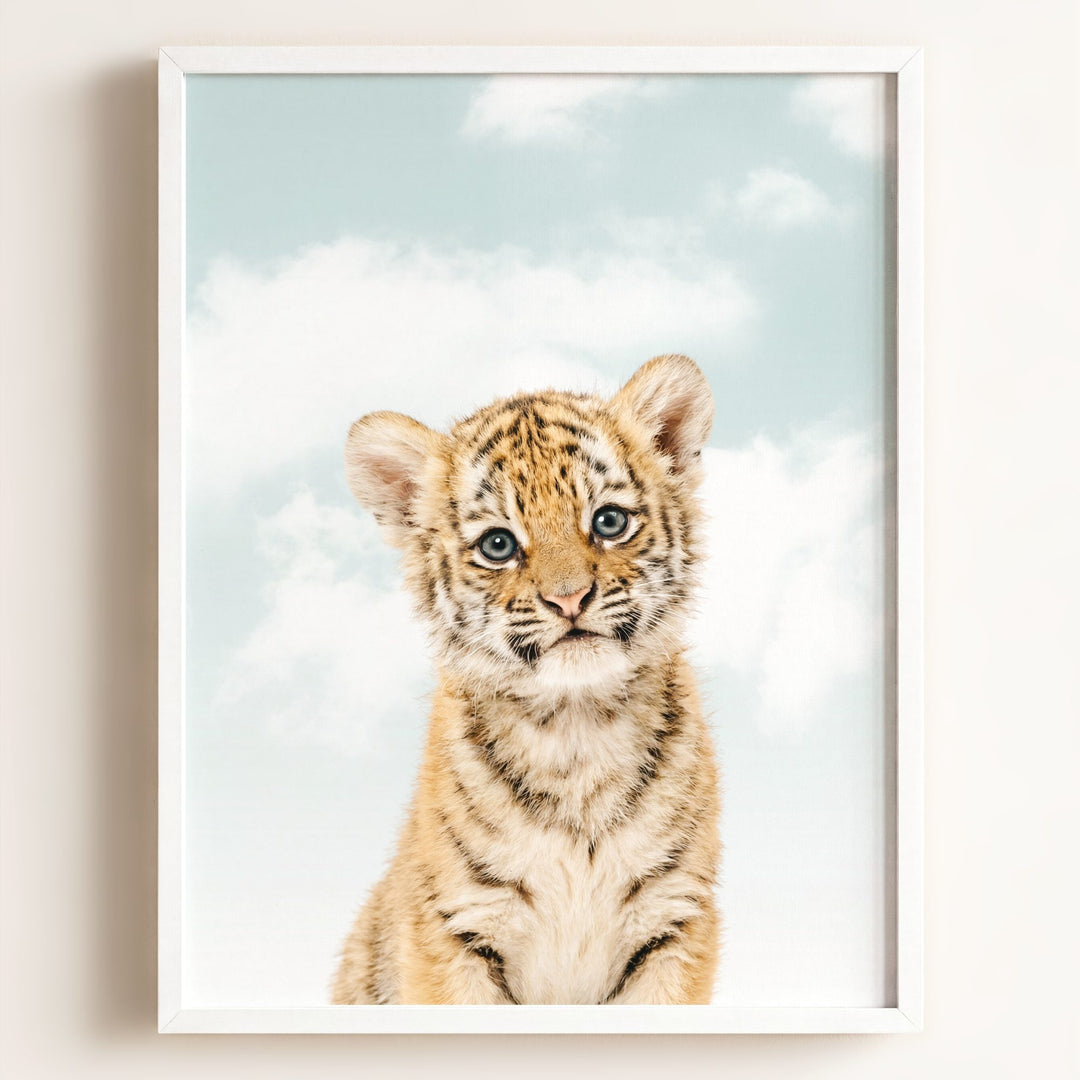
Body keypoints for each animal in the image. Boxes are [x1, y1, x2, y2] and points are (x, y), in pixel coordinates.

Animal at [331, 353, 721, 1006]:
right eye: (498, 544)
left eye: (608, 521)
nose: (569, 599)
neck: (576, 728)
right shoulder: (455, 929)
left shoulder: (674, 920)